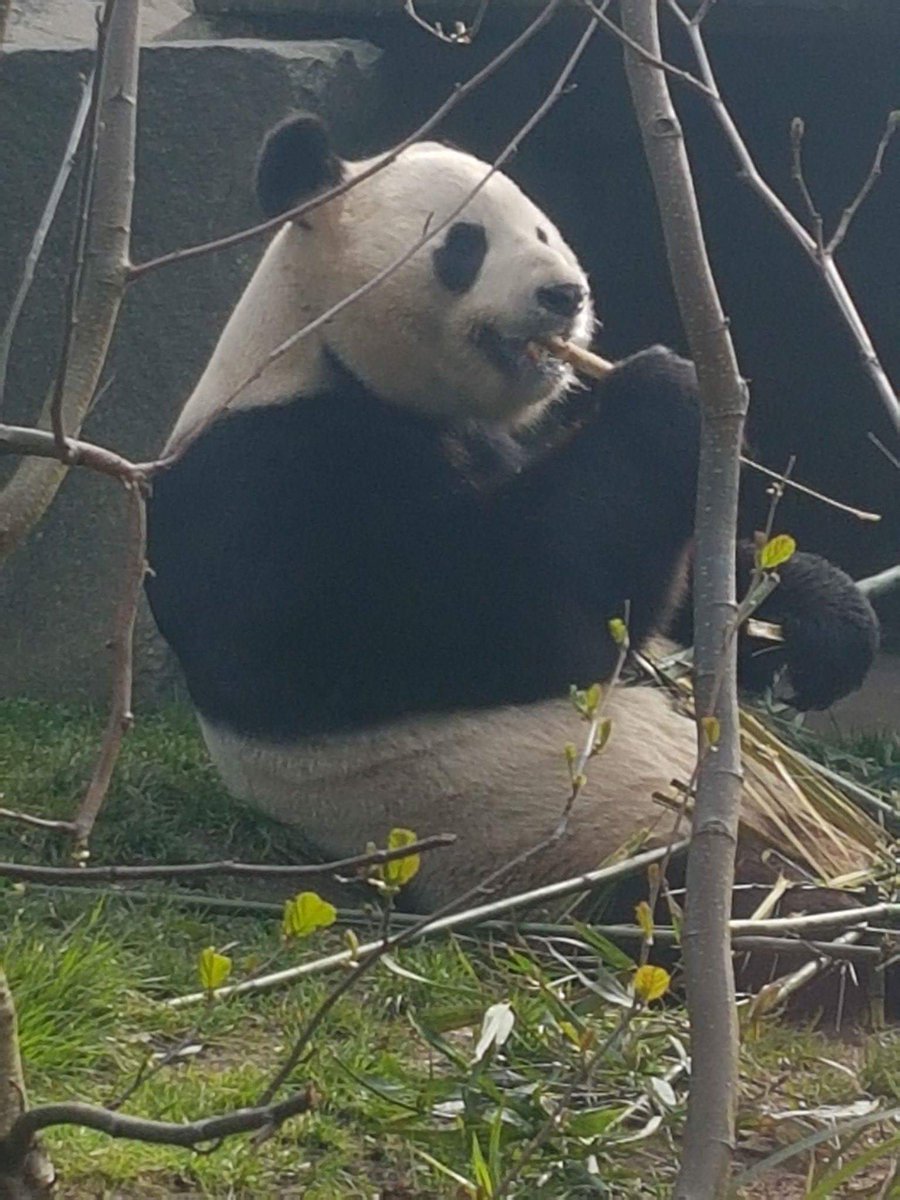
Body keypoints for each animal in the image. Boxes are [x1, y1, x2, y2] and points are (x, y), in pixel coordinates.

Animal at [146, 114, 879, 910]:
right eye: (465, 244)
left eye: (543, 231)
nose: (566, 295)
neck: (320, 349)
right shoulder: (273, 483)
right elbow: (518, 608)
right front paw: (665, 393)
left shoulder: (486, 442)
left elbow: (685, 598)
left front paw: (823, 626)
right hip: (612, 852)